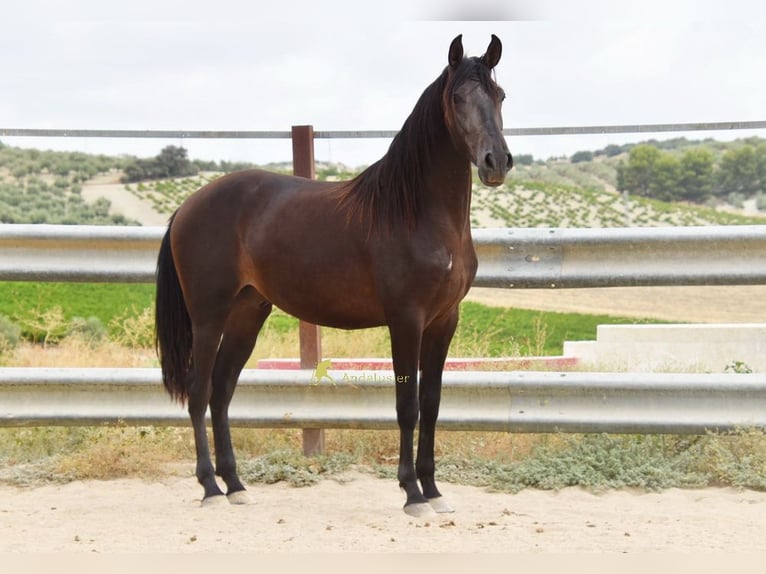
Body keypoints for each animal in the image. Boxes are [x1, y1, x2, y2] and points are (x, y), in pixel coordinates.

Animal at [155, 34, 512, 516]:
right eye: (457, 98)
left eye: (500, 95)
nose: (497, 162)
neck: (418, 213)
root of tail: (188, 206)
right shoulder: (406, 320)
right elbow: (407, 405)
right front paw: (412, 493)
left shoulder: (443, 321)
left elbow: (432, 404)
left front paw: (434, 491)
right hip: (208, 316)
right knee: (197, 392)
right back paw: (211, 487)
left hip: (248, 313)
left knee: (221, 391)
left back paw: (236, 485)